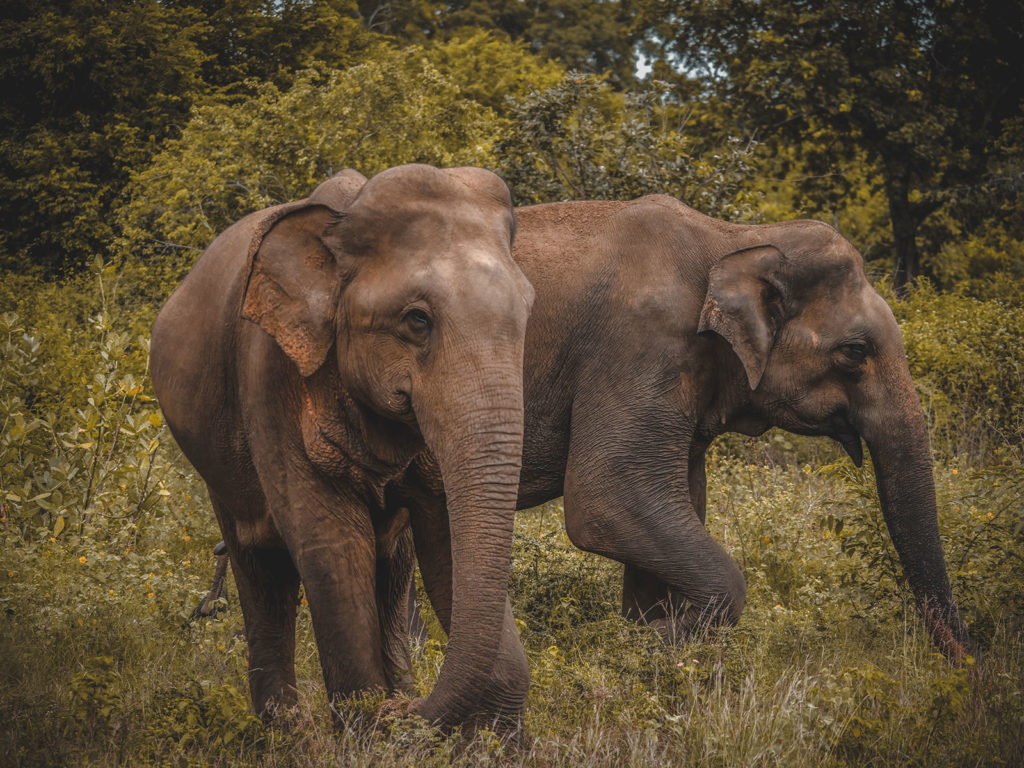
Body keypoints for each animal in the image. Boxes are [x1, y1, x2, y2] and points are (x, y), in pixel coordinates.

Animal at [150, 164, 535, 733]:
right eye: (417, 319)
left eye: (528, 313)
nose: (404, 712)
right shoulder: (269, 373)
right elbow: (330, 542)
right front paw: (368, 726)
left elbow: (444, 537)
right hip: (217, 464)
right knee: (260, 568)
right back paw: (285, 733)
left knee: (392, 567)